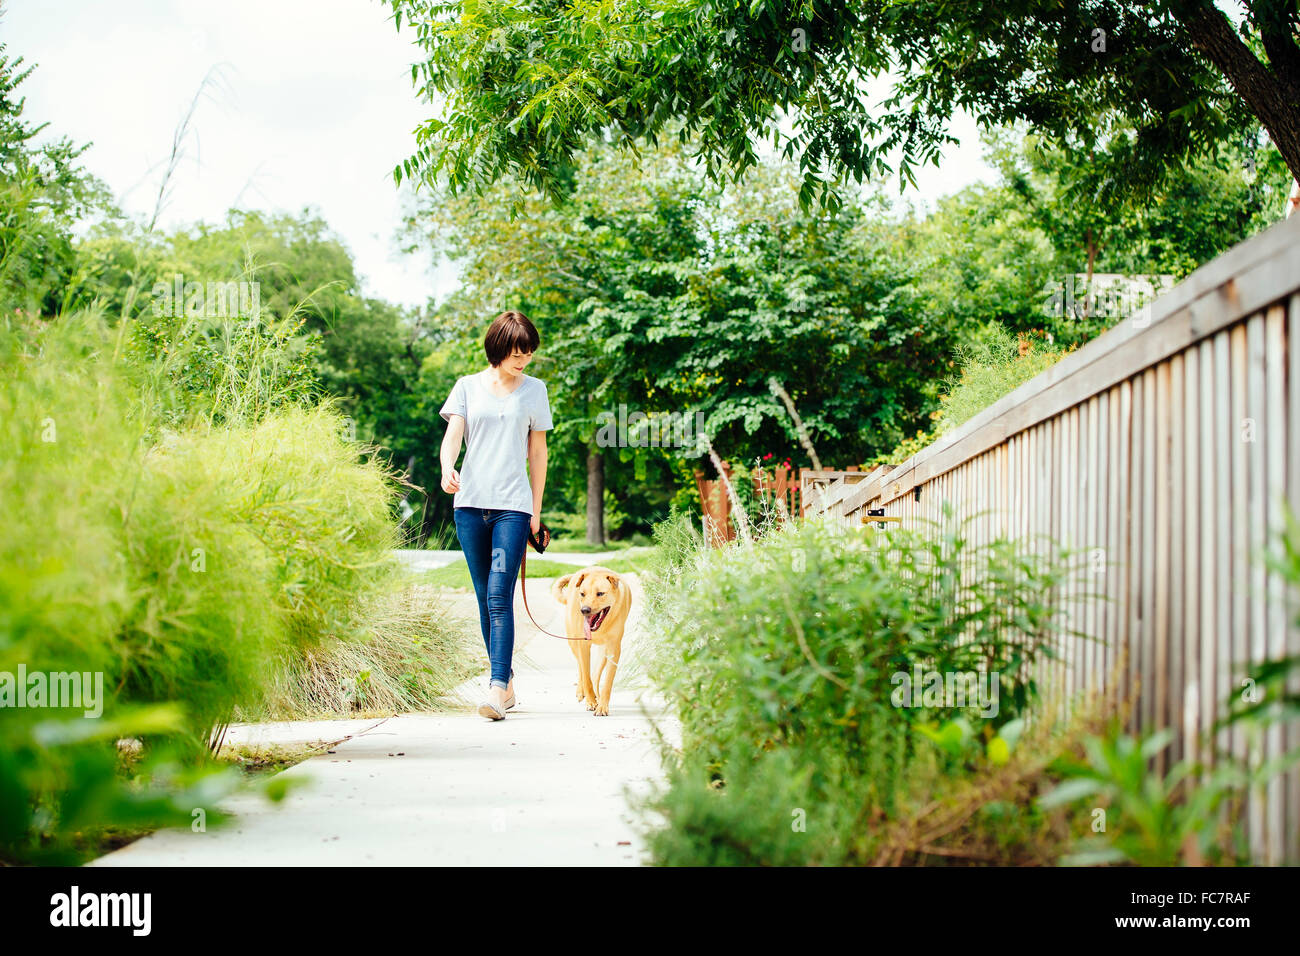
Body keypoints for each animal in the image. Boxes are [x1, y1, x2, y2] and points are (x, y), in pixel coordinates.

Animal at [548, 564, 629, 712]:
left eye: (600, 594)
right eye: (582, 594)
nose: (584, 610)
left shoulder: (613, 648)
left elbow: (607, 680)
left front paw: (602, 706)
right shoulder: (583, 645)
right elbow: (585, 674)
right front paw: (590, 701)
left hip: (603, 651)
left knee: (596, 674)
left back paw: (597, 695)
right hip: (573, 642)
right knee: (581, 667)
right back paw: (582, 692)